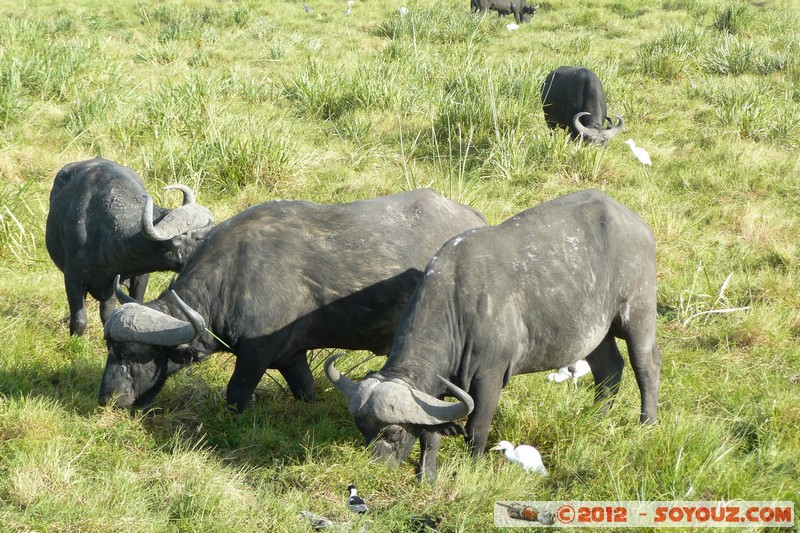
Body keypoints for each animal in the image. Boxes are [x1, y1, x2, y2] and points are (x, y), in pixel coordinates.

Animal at [99, 189, 487, 411]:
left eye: (133, 354)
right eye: (109, 350)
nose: (107, 399)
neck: (234, 276)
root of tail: (475, 219)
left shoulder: (255, 356)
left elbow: (236, 395)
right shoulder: (292, 357)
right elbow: (306, 392)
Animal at [326, 189, 661, 480]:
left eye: (393, 431)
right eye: (362, 428)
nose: (376, 466)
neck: (459, 306)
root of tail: (636, 224)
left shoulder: (489, 375)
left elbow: (477, 427)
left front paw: (470, 469)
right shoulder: (434, 392)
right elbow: (431, 433)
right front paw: (427, 476)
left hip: (638, 312)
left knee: (646, 365)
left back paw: (647, 424)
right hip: (595, 331)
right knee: (609, 368)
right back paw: (597, 417)